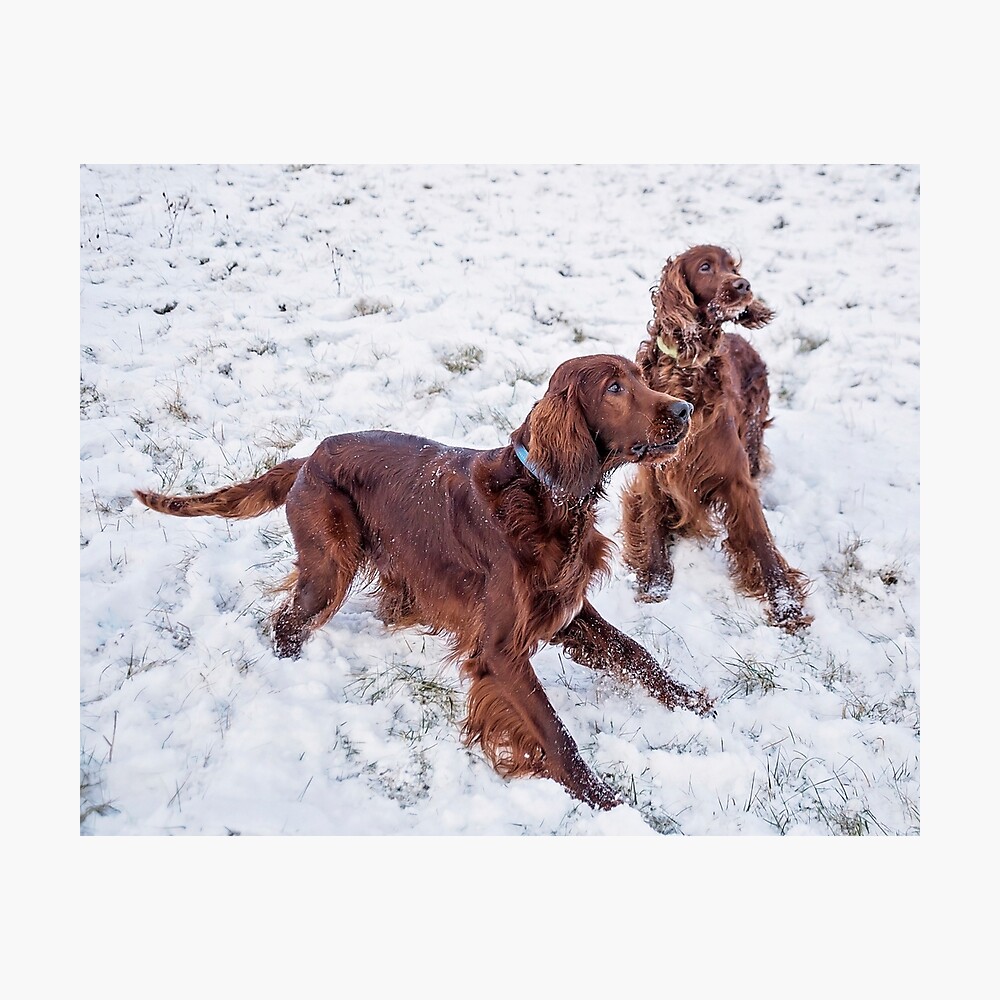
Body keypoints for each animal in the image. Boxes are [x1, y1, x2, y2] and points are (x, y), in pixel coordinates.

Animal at [137, 356, 716, 808]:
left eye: (640, 376)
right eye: (614, 388)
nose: (684, 411)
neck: (543, 496)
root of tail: (310, 456)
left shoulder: (563, 612)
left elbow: (635, 652)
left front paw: (692, 701)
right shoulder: (500, 649)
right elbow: (553, 731)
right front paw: (602, 799)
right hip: (329, 567)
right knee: (286, 622)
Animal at [624, 244, 812, 632]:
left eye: (733, 266)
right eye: (706, 267)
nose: (743, 285)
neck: (686, 369)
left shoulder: (735, 477)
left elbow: (760, 538)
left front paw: (786, 604)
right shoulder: (653, 472)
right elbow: (651, 522)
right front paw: (655, 583)